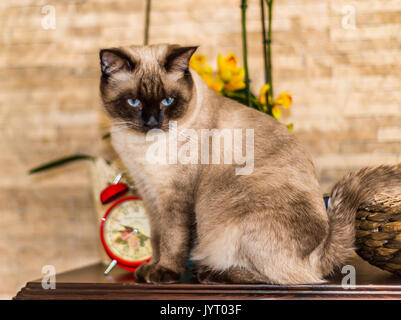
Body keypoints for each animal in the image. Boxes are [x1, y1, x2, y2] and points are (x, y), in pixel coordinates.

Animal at [98, 43, 400, 284]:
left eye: (168, 101)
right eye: (133, 102)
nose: (151, 122)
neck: (141, 147)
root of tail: (322, 251)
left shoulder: (175, 198)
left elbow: (172, 240)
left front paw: (164, 274)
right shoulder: (149, 194)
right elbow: (157, 239)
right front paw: (150, 268)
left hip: (234, 225)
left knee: (284, 279)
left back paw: (209, 274)